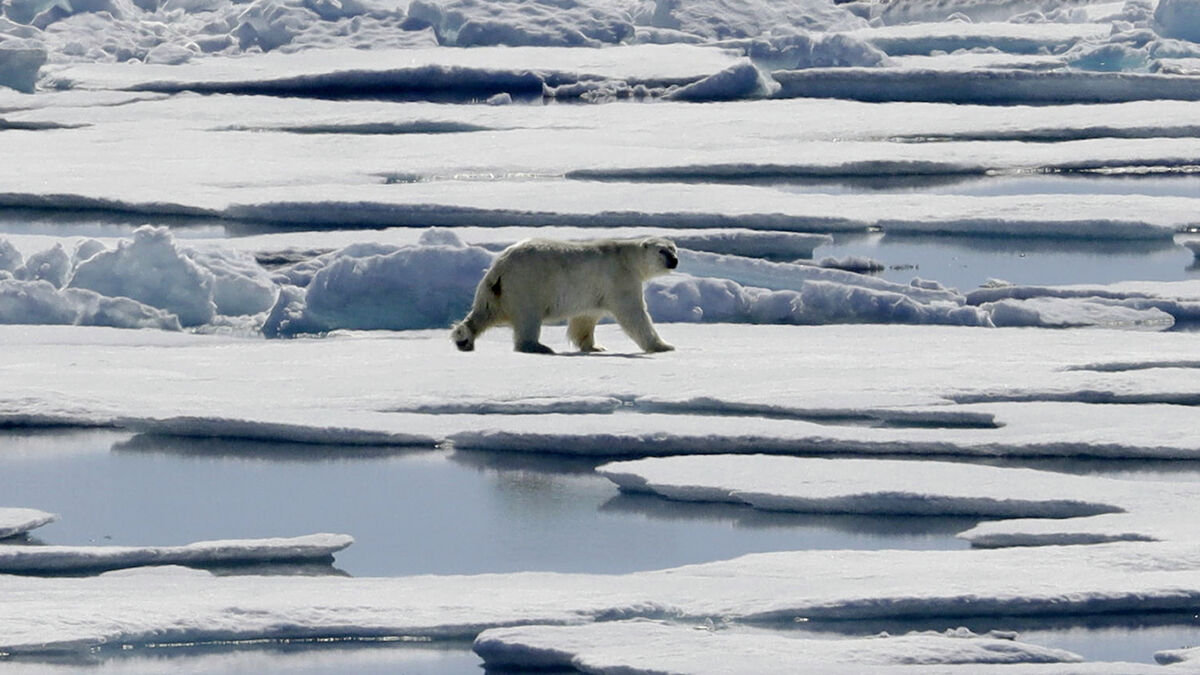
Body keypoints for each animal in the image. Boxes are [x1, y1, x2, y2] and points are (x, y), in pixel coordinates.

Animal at [450, 237, 679, 354]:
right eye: (662, 251)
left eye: (674, 248)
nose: (675, 260)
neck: (628, 258)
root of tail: (500, 265)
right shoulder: (620, 279)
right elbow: (634, 314)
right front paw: (663, 346)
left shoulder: (593, 292)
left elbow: (585, 318)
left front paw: (594, 346)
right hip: (527, 284)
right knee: (528, 317)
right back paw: (538, 346)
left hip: (495, 290)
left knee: (485, 312)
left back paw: (464, 339)